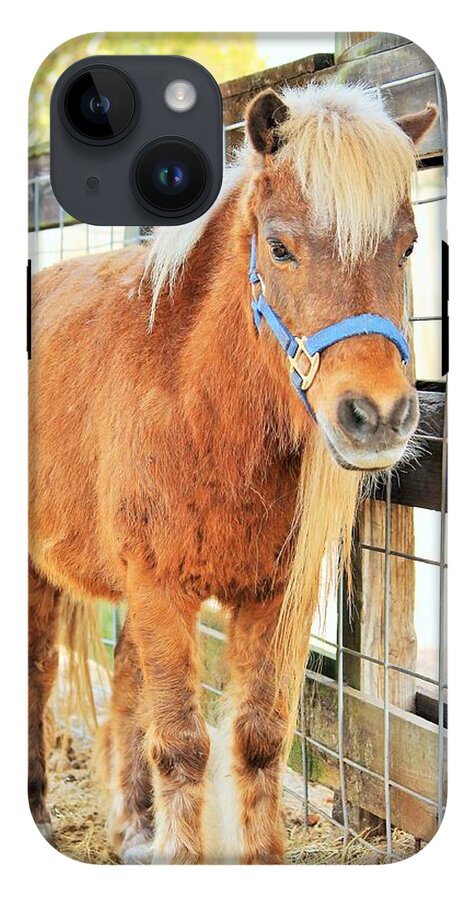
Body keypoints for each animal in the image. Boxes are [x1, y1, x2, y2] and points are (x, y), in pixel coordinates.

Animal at [28, 80, 437, 864]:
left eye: (407, 246)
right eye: (278, 247)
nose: (377, 415)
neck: (198, 407)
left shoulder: (270, 598)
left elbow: (258, 741)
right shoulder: (159, 589)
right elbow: (184, 746)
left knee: (124, 684)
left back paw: (134, 828)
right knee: (39, 673)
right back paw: (38, 809)